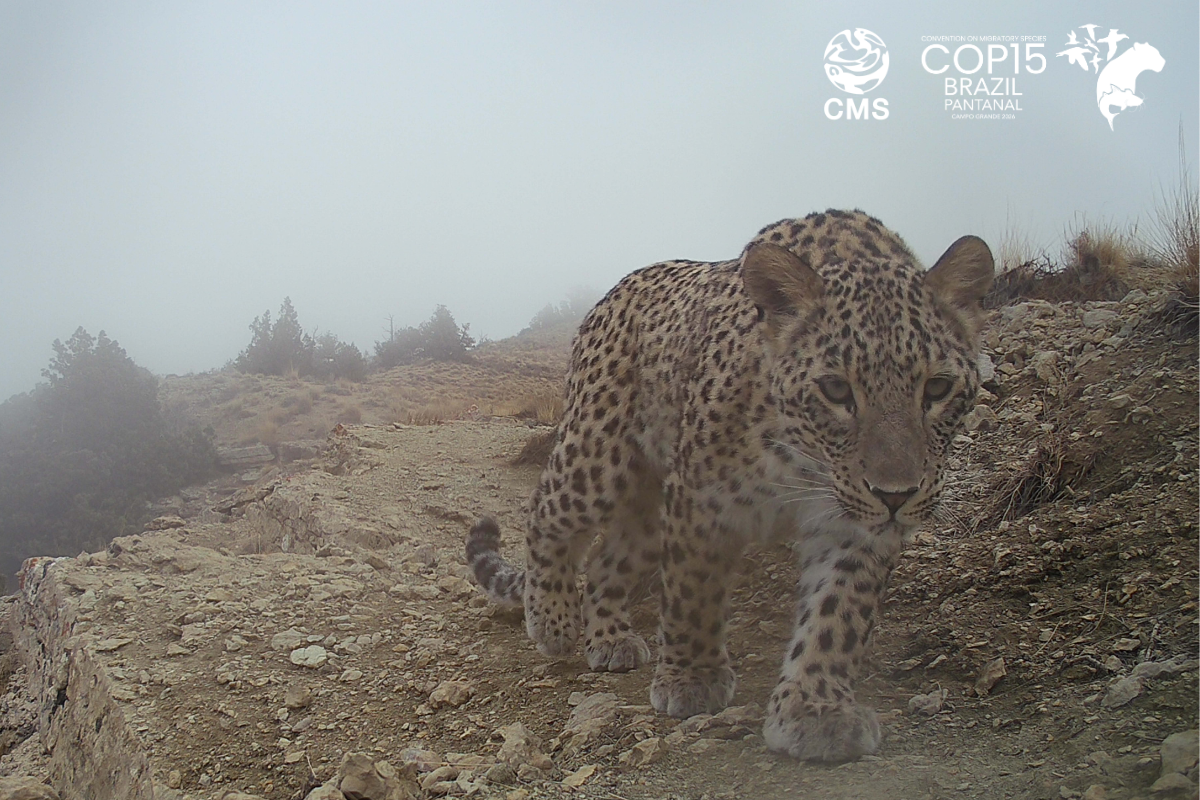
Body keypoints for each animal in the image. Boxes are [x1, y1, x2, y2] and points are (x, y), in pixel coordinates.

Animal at [466, 209, 993, 762]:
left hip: (646, 514)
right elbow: (693, 595)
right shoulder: (701, 500)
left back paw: (610, 637)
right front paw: (691, 681)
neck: (804, 460)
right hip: (596, 454)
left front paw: (815, 708)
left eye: (937, 388)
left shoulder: (853, 524)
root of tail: (613, 293)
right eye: (835, 389)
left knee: (607, 562)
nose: (895, 495)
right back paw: (552, 620)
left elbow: (838, 615)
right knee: (546, 513)